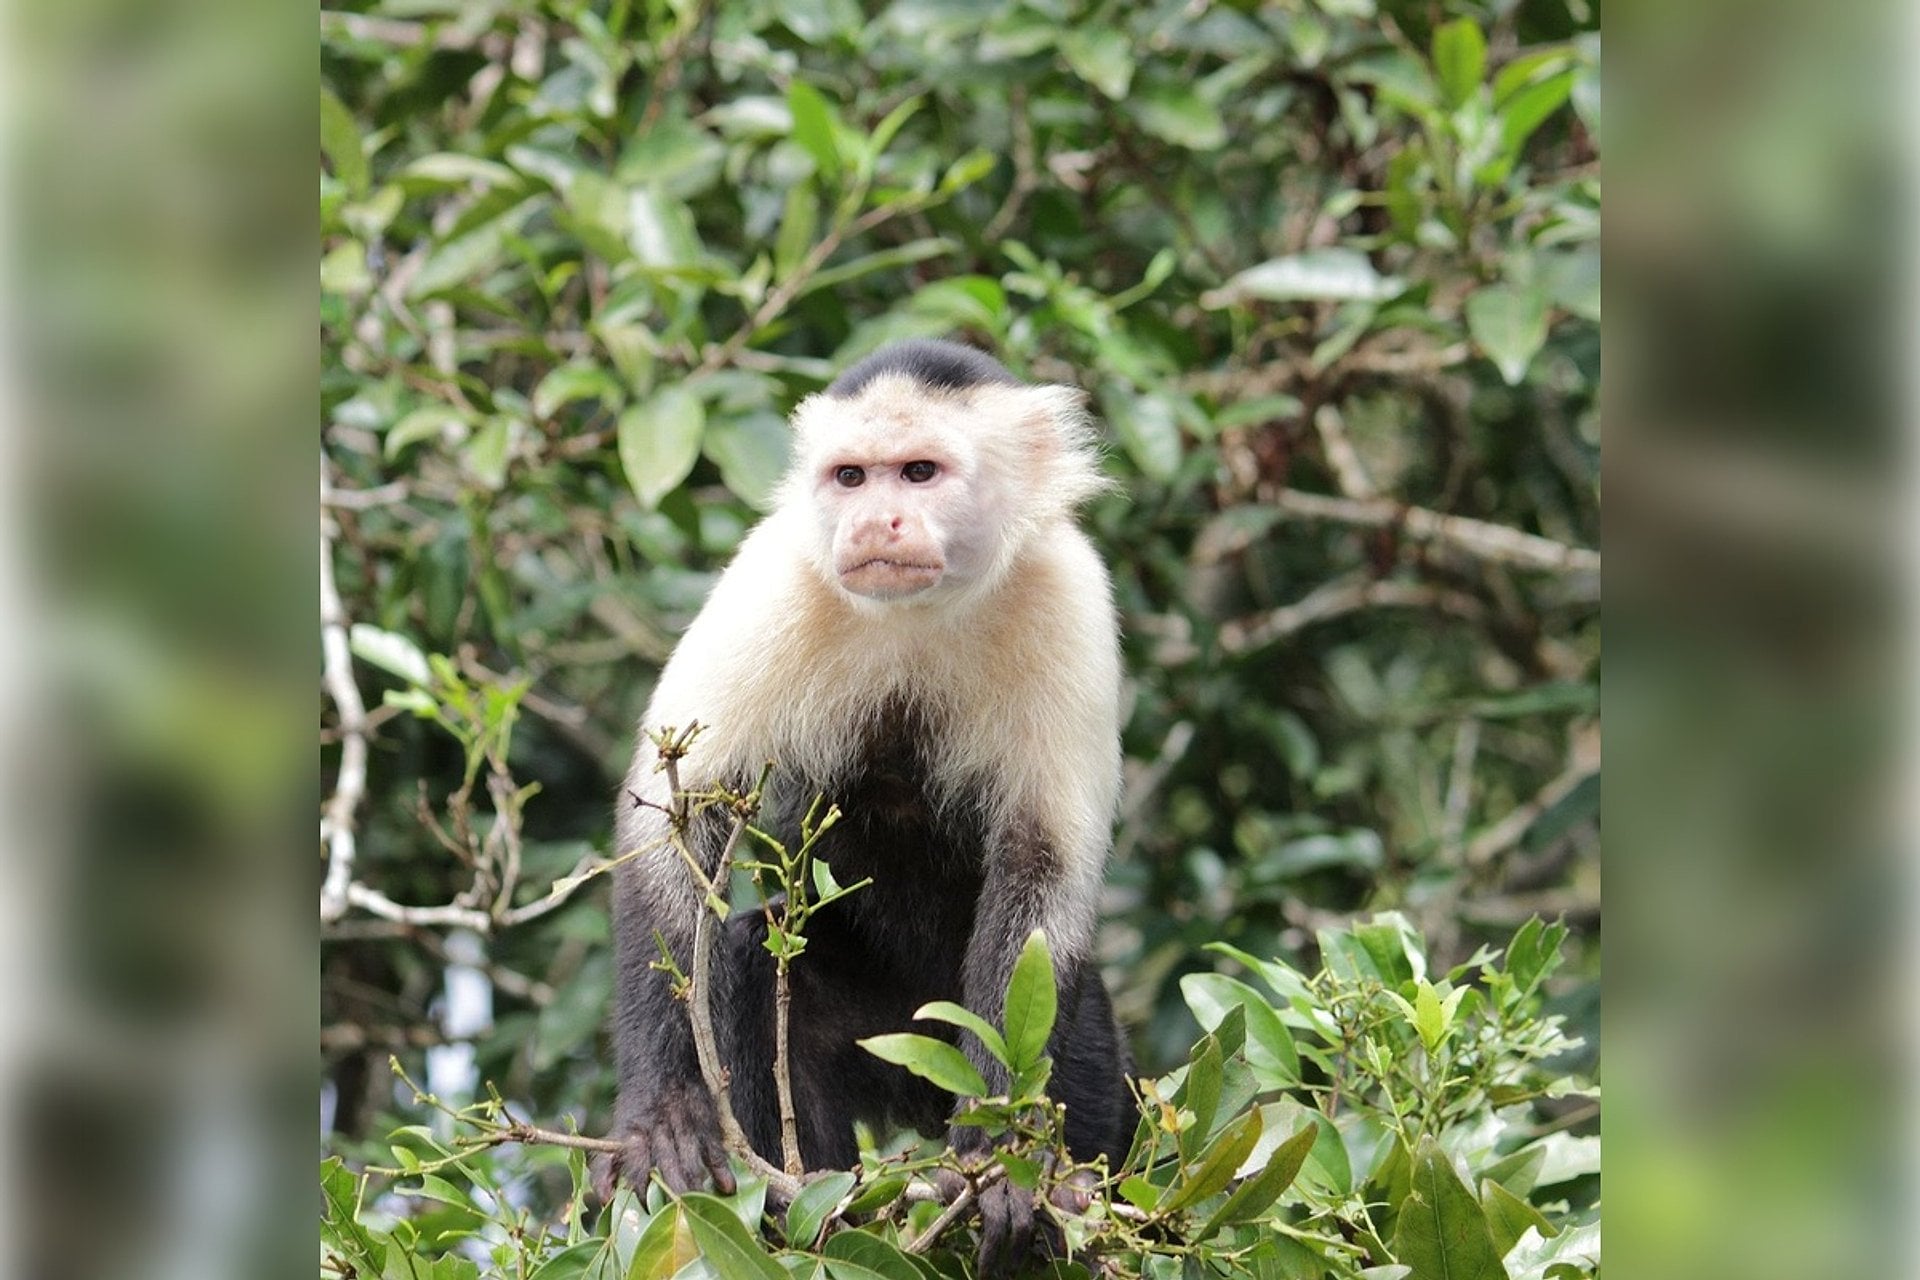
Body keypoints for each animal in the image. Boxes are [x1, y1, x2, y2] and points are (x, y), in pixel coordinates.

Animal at [600, 339, 1135, 1275]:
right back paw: (806, 1210)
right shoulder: (774, 576)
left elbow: (1043, 866)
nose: (874, 520)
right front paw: (662, 1113)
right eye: (850, 476)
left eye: (919, 472)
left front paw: (999, 1160)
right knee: (757, 961)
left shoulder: (1069, 595)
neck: (926, 610)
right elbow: (672, 821)